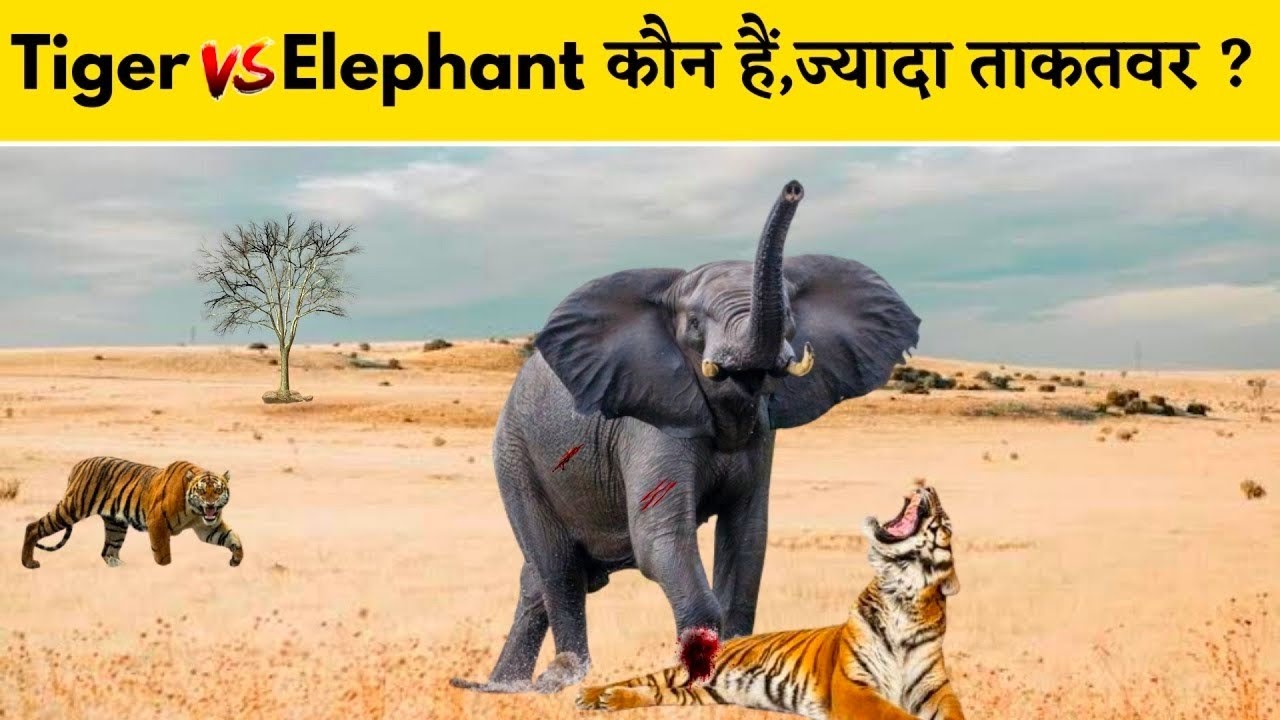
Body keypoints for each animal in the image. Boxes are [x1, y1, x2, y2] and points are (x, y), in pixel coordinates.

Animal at [21, 457, 243, 570]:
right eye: (202, 491)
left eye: (218, 490)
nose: (211, 504)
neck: (195, 511)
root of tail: (79, 464)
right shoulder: (157, 522)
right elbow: (163, 554)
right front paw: (165, 569)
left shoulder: (207, 527)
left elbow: (233, 538)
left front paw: (236, 560)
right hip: (72, 508)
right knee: (33, 527)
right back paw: (28, 563)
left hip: (115, 523)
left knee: (108, 550)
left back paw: (120, 567)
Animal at [451, 180, 921, 694]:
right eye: (694, 325)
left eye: (791, 317)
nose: (794, 188)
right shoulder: (648, 422)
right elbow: (660, 540)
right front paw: (696, 675)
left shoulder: (761, 435)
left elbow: (747, 539)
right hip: (515, 457)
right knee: (557, 568)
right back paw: (560, 680)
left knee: (538, 581)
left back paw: (507, 686)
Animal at [577, 482, 964, 720]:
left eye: (946, 524)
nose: (929, 486)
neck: (901, 597)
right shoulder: (852, 686)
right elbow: (892, 713)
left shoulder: (934, 689)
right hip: (693, 672)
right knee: (645, 680)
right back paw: (592, 694)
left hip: (706, 692)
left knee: (661, 693)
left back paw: (608, 700)